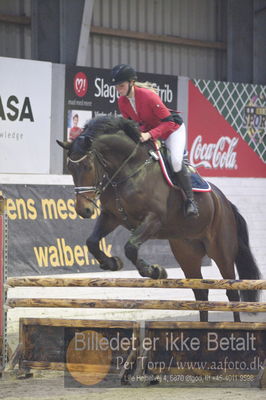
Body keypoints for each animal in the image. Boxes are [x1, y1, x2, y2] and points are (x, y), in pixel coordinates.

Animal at [57, 115, 260, 322]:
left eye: (87, 166)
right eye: (69, 168)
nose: (84, 210)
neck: (128, 170)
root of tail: (224, 202)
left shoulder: (153, 220)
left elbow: (130, 247)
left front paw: (154, 271)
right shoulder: (111, 216)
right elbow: (91, 241)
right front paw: (112, 263)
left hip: (221, 250)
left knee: (232, 291)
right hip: (187, 253)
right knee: (201, 292)